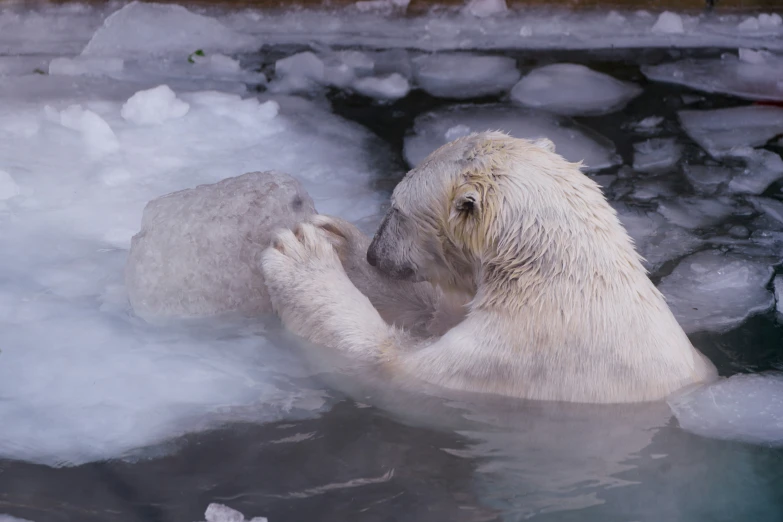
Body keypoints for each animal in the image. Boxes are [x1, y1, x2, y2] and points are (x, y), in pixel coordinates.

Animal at [260, 130, 720, 402]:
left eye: (397, 207)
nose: (376, 254)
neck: (559, 284)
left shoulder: (509, 358)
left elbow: (387, 362)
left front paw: (301, 256)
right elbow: (432, 314)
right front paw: (340, 240)